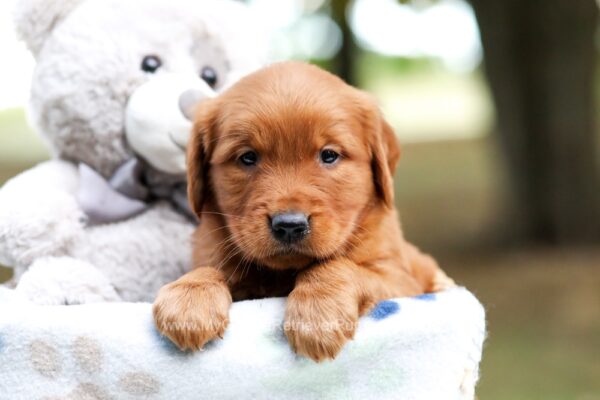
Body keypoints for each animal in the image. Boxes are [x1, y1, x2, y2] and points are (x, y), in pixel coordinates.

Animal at [152, 61, 452, 360]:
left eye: (329, 155)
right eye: (247, 157)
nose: (289, 225)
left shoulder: (399, 279)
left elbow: (338, 265)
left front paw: (318, 316)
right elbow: (210, 269)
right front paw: (189, 299)